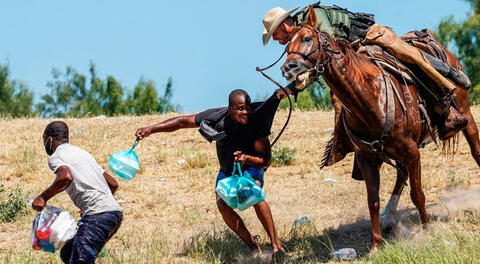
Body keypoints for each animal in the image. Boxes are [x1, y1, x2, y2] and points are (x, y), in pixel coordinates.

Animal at [282, 6, 480, 252]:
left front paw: (427, 230)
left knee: (475, 151)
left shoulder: (412, 151)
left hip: (465, 114)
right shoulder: (367, 157)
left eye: (307, 38)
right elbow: (373, 200)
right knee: (401, 173)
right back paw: (389, 217)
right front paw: (376, 244)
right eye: (286, 46)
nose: (288, 68)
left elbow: (418, 194)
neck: (370, 97)